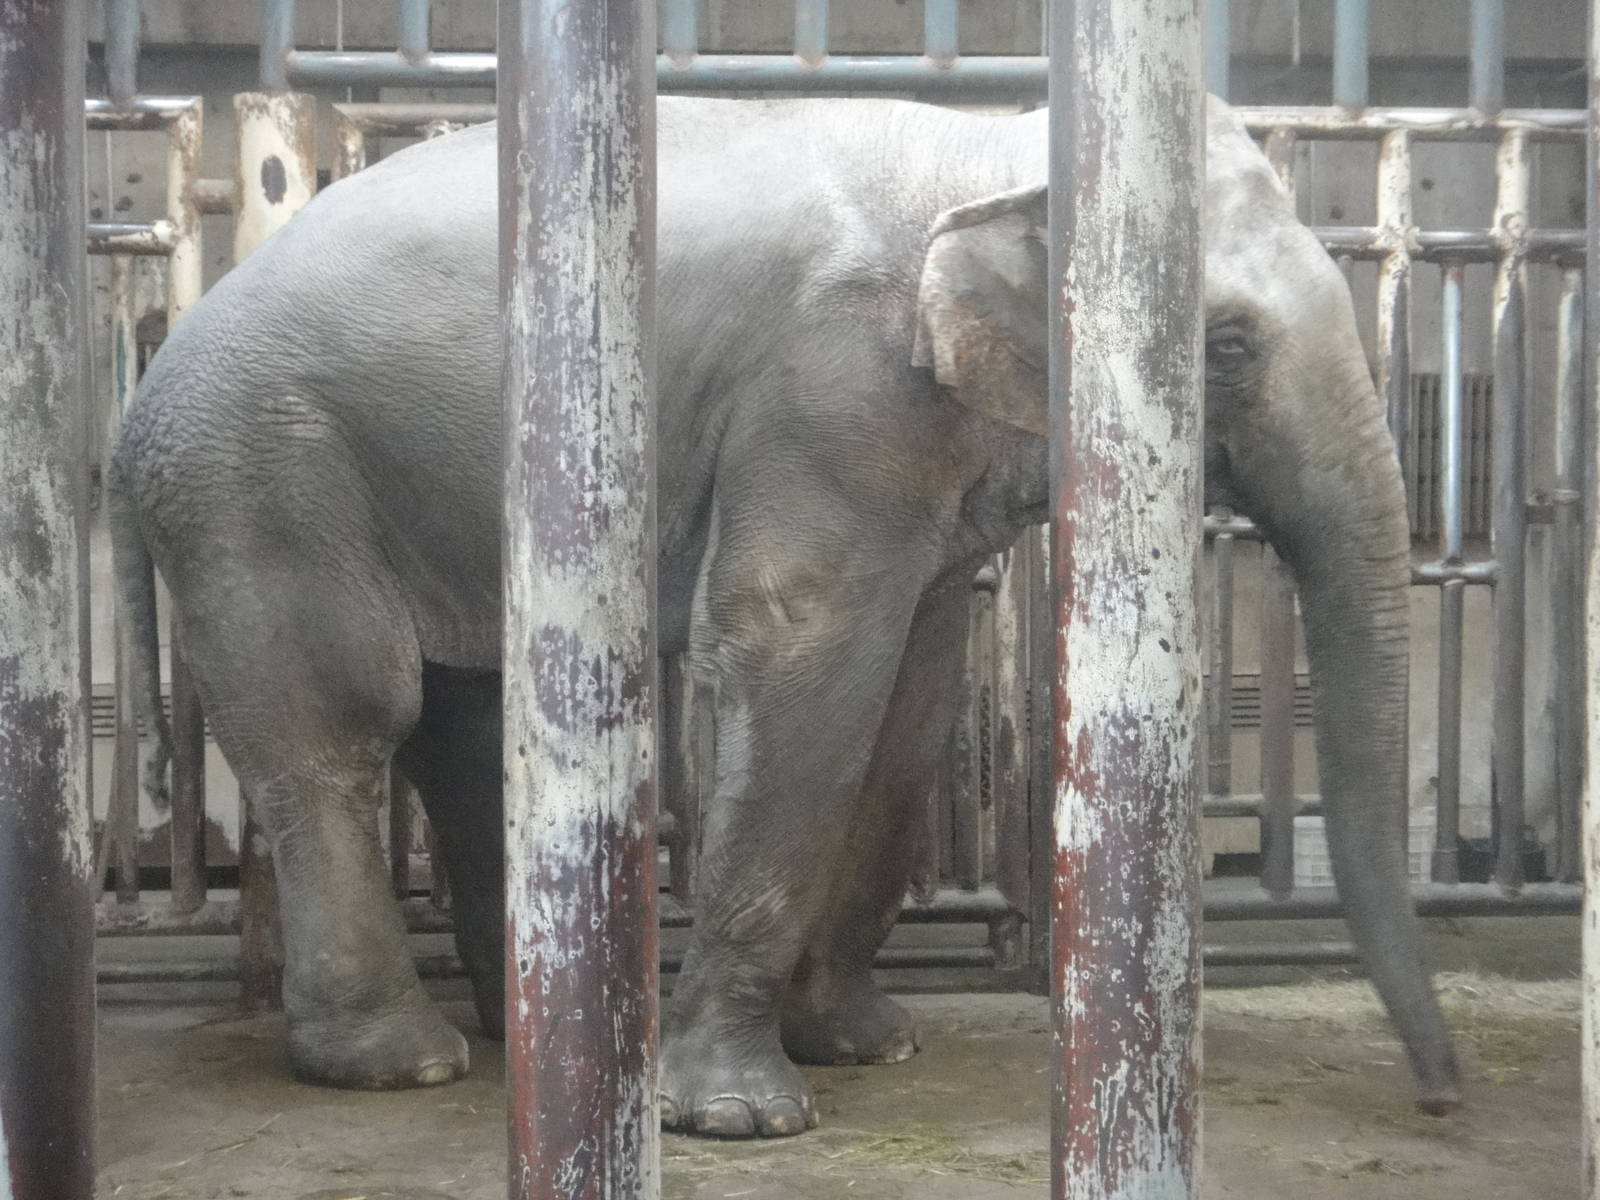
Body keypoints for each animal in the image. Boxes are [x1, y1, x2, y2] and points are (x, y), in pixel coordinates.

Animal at [111, 94, 1460, 1137]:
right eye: (1225, 345)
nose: (1441, 1097)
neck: (995, 152)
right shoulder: (831, 390)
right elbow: (799, 650)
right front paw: (737, 1117)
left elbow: (911, 693)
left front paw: (867, 1045)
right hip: (257, 474)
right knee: (347, 723)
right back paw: (404, 1064)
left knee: (468, 721)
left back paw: (529, 1036)